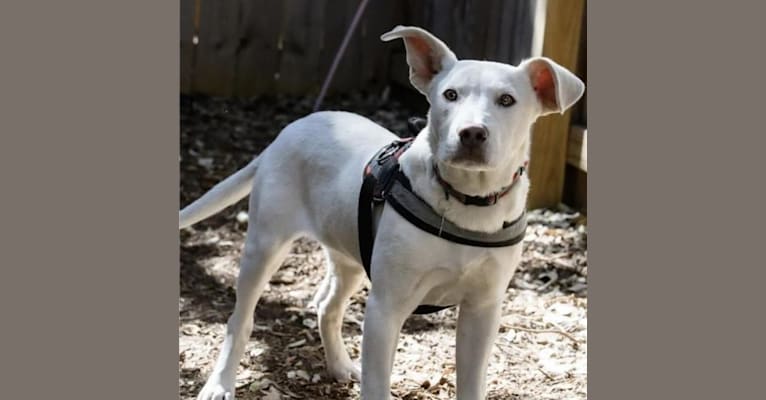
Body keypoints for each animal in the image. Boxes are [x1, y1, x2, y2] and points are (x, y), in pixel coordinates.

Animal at [182, 25, 588, 400]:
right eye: (450, 95)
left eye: (507, 100)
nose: (471, 133)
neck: (465, 201)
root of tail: (287, 132)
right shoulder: (386, 308)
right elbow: (377, 383)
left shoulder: (482, 310)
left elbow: (471, 382)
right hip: (264, 246)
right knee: (240, 320)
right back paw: (220, 383)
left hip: (349, 255)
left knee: (328, 306)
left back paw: (340, 366)